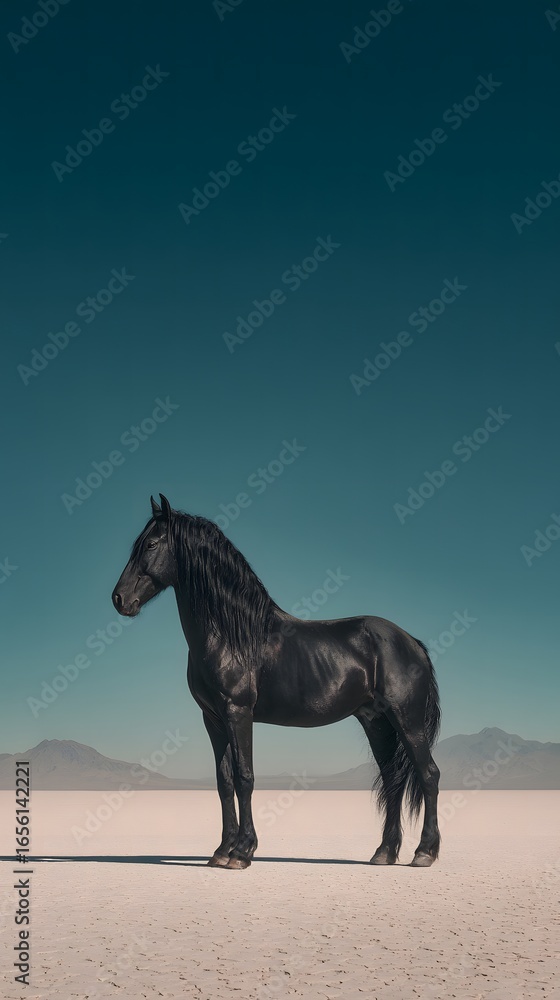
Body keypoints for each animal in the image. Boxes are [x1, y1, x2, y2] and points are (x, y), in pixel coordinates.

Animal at [112, 494, 441, 870]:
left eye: (151, 544)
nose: (119, 599)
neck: (231, 634)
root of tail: (412, 642)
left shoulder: (238, 712)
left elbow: (245, 777)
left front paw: (242, 852)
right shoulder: (212, 719)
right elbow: (224, 781)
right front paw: (221, 851)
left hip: (407, 720)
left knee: (429, 775)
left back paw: (424, 852)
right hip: (377, 723)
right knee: (392, 781)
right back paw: (384, 852)